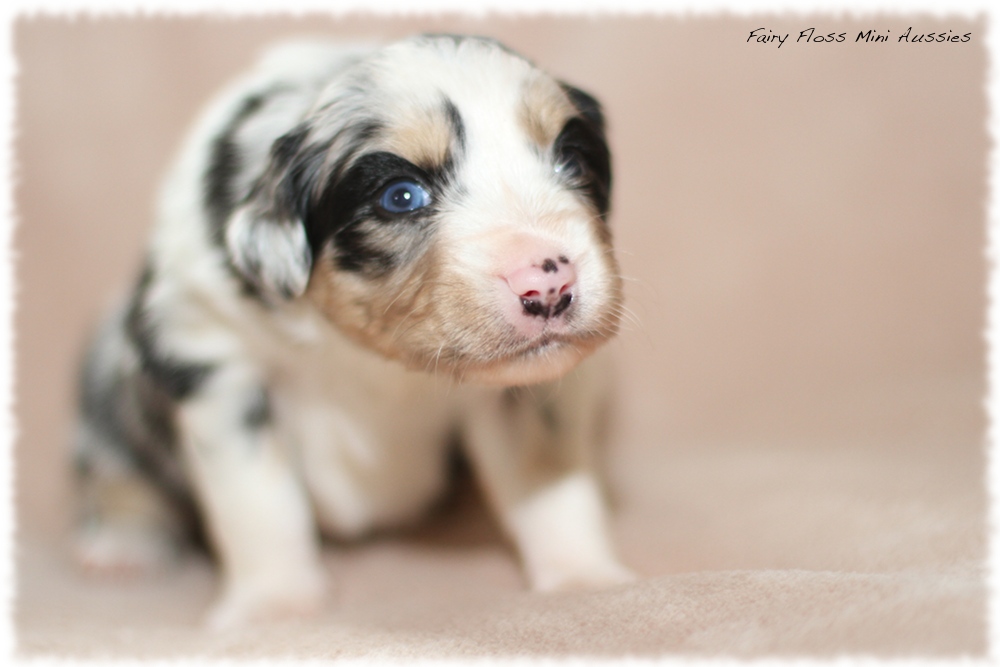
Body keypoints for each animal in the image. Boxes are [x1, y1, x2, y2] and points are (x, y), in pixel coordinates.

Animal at [72, 35, 632, 632]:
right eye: (401, 195)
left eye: (571, 160)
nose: (549, 284)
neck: (375, 360)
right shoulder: (210, 355)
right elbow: (256, 501)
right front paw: (274, 608)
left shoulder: (533, 391)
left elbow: (550, 476)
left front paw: (585, 581)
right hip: (108, 374)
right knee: (115, 465)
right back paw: (122, 546)